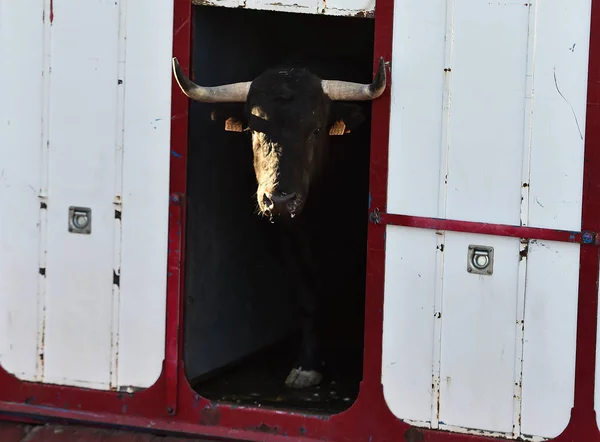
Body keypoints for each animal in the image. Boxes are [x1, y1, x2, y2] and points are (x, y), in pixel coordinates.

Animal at [171, 56, 386, 390]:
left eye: (315, 130)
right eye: (253, 130)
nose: (280, 200)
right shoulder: (289, 241)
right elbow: (307, 295)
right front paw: (307, 364)